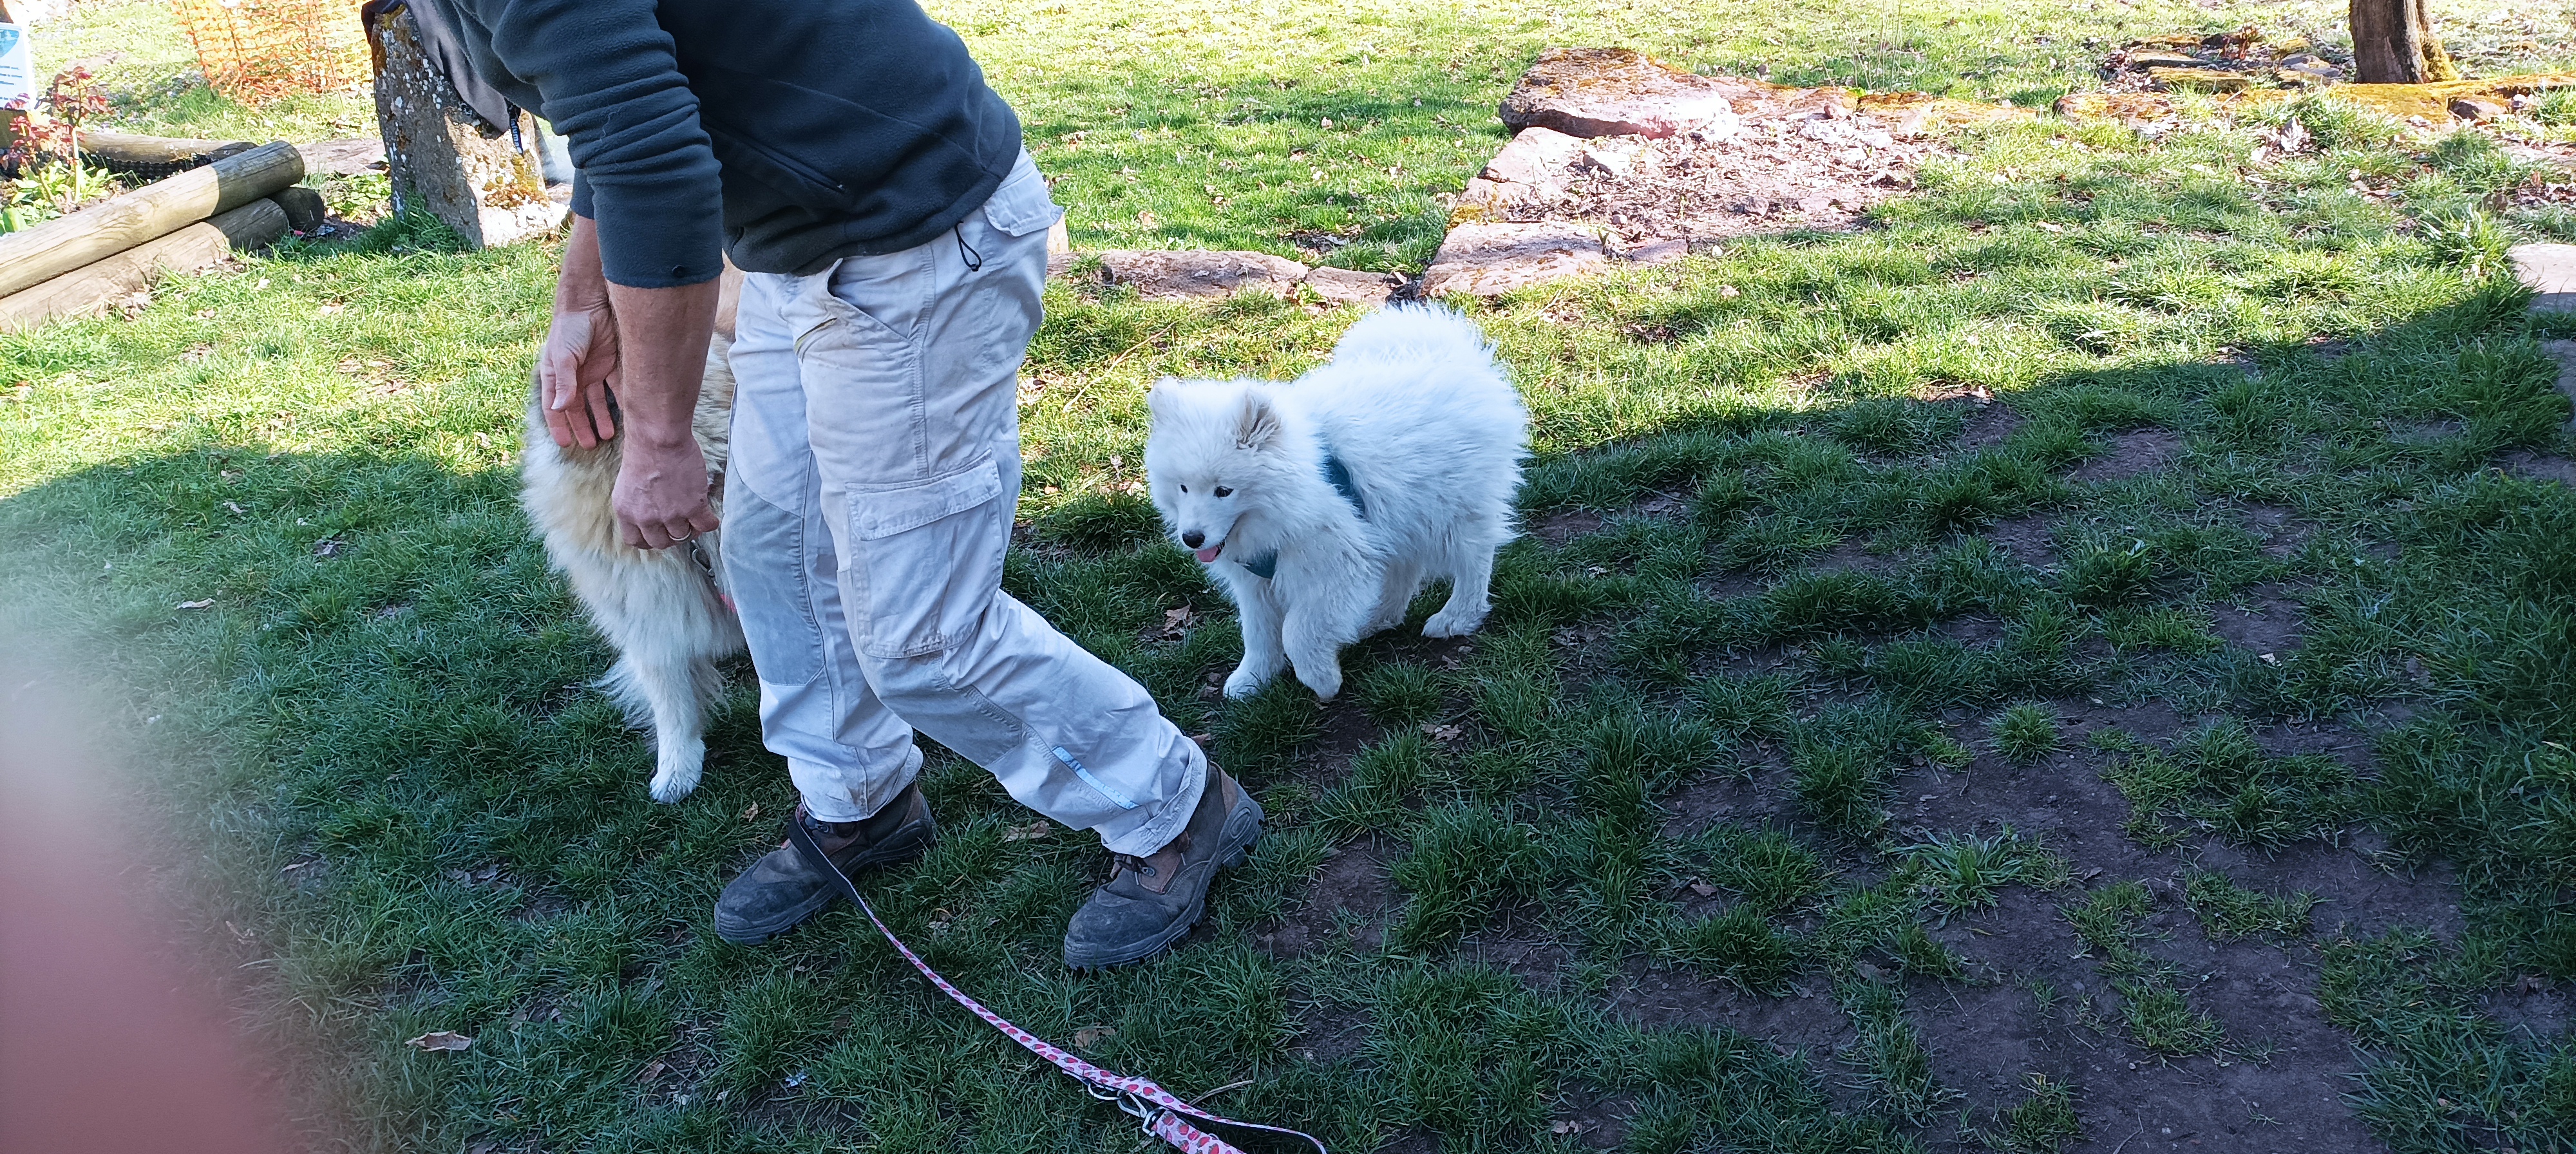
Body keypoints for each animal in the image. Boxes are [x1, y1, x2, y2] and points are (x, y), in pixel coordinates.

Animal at [1145, 305, 1527, 701]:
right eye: (1183, 487)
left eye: (1224, 491)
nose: (1192, 539)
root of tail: (1456, 356)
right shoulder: (1257, 580)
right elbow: (1259, 633)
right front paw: (1252, 678)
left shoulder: (1336, 564)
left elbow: (1297, 631)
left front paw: (1321, 679)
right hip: (1398, 515)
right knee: (1404, 568)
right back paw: (1377, 619)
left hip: (1451, 510)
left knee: (1474, 561)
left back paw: (1455, 618)